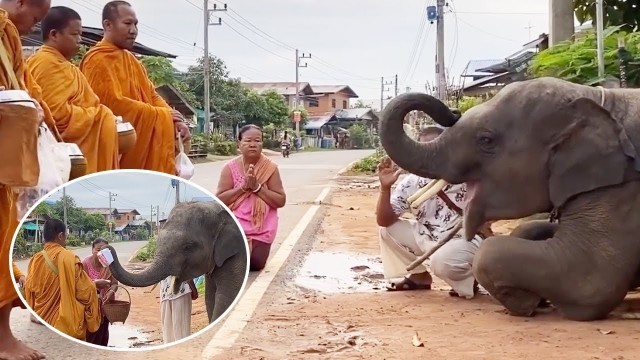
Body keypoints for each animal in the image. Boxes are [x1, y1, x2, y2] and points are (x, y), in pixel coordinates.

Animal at [378, 76, 640, 320]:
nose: (454, 110)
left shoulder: (618, 190)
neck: (595, 98)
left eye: (485, 140)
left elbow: (590, 284)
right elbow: (527, 229)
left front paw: (526, 303)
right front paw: (537, 300)